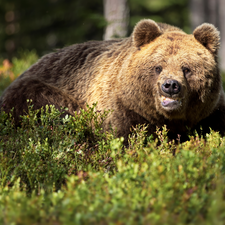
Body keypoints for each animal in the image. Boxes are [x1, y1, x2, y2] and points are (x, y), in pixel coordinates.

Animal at [0, 19, 225, 142]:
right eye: (158, 67)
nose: (170, 86)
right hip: (34, 92)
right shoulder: (122, 108)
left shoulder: (210, 111)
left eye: (186, 69)